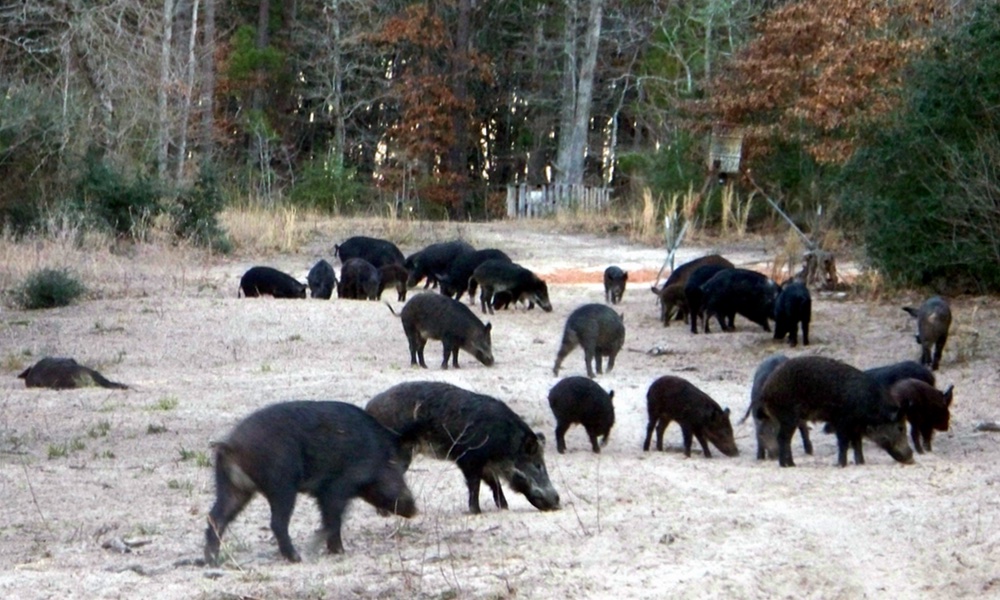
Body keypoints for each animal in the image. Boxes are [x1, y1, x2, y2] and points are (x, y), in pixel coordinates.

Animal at [204, 401, 416, 564]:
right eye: (398, 472)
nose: (415, 510)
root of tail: (232, 445)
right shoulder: (336, 487)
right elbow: (334, 519)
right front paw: (337, 551)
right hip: (281, 484)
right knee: (277, 522)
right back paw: (296, 558)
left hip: (232, 487)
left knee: (216, 517)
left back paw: (211, 560)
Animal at [365, 381, 560, 514]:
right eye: (538, 465)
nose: (557, 501)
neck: (504, 444)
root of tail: (368, 407)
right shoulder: (469, 460)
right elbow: (475, 485)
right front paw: (476, 512)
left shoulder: (486, 465)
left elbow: (495, 484)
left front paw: (504, 508)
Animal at [758, 355, 914, 467]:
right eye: (900, 428)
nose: (911, 458)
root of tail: (766, 389)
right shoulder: (842, 421)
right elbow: (843, 443)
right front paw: (840, 465)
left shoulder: (856, 426)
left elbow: (857, 444)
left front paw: (861, 463)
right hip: (788, 417)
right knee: (783, 438)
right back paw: (789, 465)